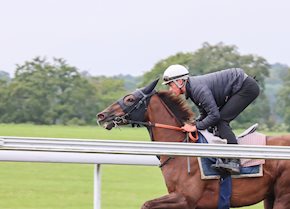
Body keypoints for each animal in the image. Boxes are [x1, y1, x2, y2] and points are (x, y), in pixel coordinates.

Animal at [96, 79, 290, 208]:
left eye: (129, 99)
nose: (101, 115)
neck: (181, 149)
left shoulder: (185, 198)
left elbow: (146, 204)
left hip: (283, 196)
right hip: (270, 196)